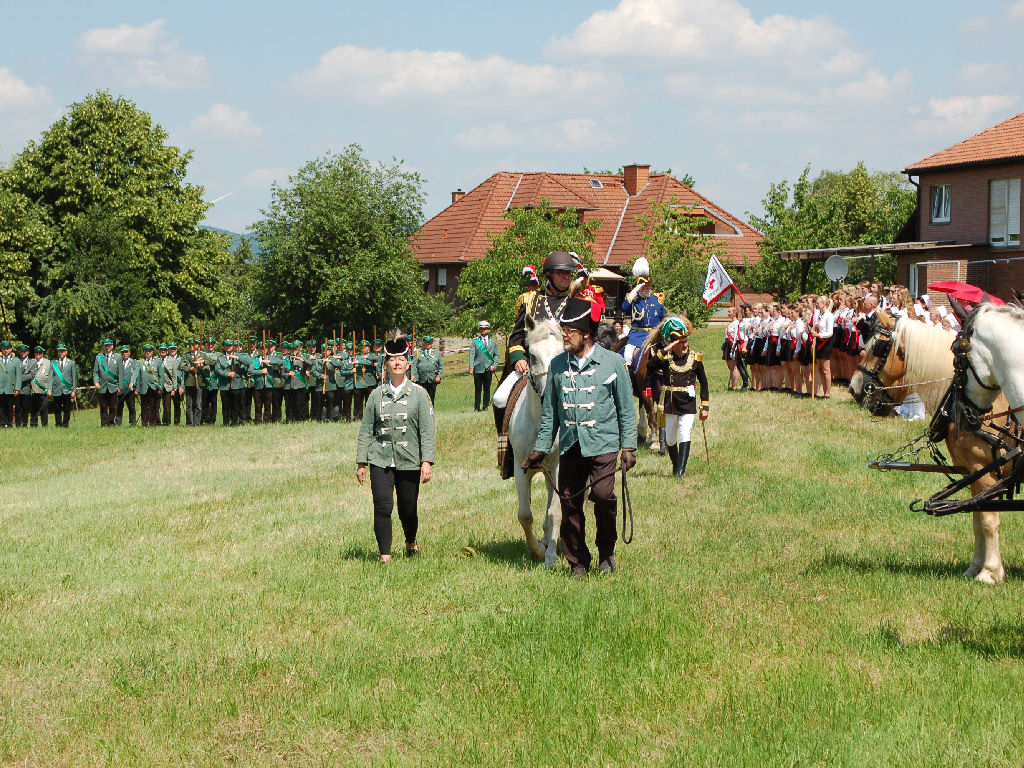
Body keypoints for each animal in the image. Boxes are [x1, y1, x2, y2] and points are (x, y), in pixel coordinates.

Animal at [849, 311, 1015, 584]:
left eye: (877, 347)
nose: (853, 388)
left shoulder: (986, 470)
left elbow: (988, 520)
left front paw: (990, 572)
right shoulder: (973, 472)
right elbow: (976, 518)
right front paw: (975, 567)